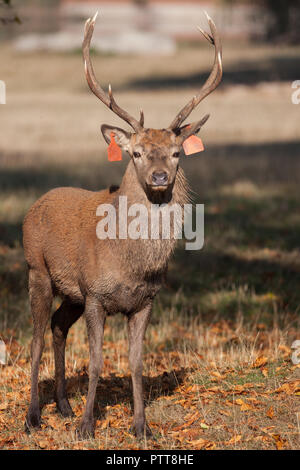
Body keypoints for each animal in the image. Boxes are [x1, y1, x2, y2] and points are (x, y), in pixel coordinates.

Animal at [23, 11, 221, 438]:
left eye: (177, 153)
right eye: (137, 153)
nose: (160, 177)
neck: (130, 264)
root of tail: (33, 206)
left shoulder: (145, 301)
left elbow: (136, 362)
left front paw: (142, 426)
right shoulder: (96, 294)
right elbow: (97, 361)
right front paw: (86, 427)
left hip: (72, 294)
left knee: (58, 327)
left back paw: (63, 406)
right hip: (37, 271)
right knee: (35, 340)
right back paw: (33, 417)